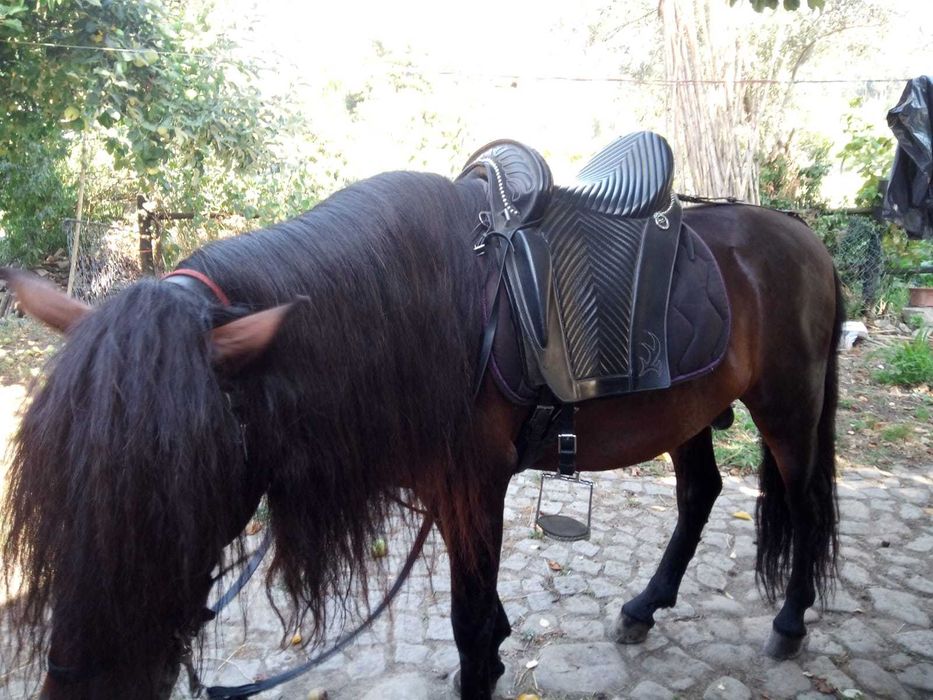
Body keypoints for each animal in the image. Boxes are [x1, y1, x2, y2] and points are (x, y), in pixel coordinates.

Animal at [1, 168, 842, 699]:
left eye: (178, 482)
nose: (83, 685)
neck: (425, 308)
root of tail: (797, 234)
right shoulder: (448, 489)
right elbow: (480, 617)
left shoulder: (475, 484)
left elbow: (468, 626)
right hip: (687, 410)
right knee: (700, 492)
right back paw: (643, 607)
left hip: (788, 405)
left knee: (802, 505)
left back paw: (791, 622)